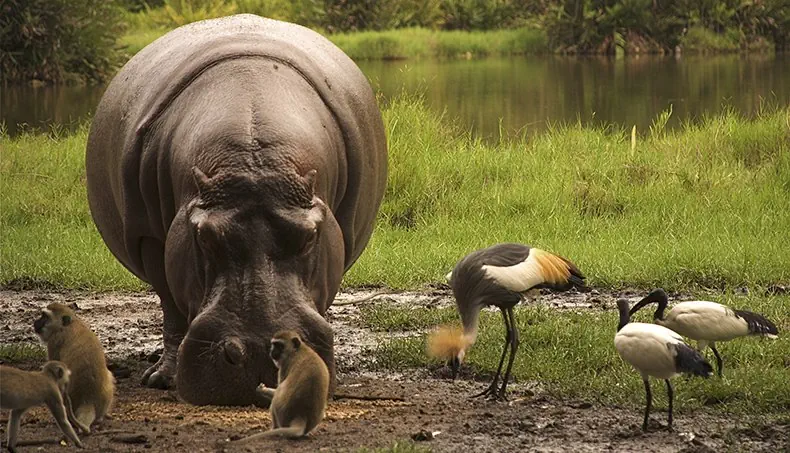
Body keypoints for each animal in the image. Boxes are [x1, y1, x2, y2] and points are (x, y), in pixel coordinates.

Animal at [34, 303, 115, 433]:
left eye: (45, 317)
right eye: (42, 315)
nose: (36, 322)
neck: (70, 324)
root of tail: (88, 399)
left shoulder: (54, 341)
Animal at [85, 15, 387, 406]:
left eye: (309, 236)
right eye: (204, 236)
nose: (259, 351)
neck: (254, 161)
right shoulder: (150, 237)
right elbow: (171, 308)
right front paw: (162, 379)